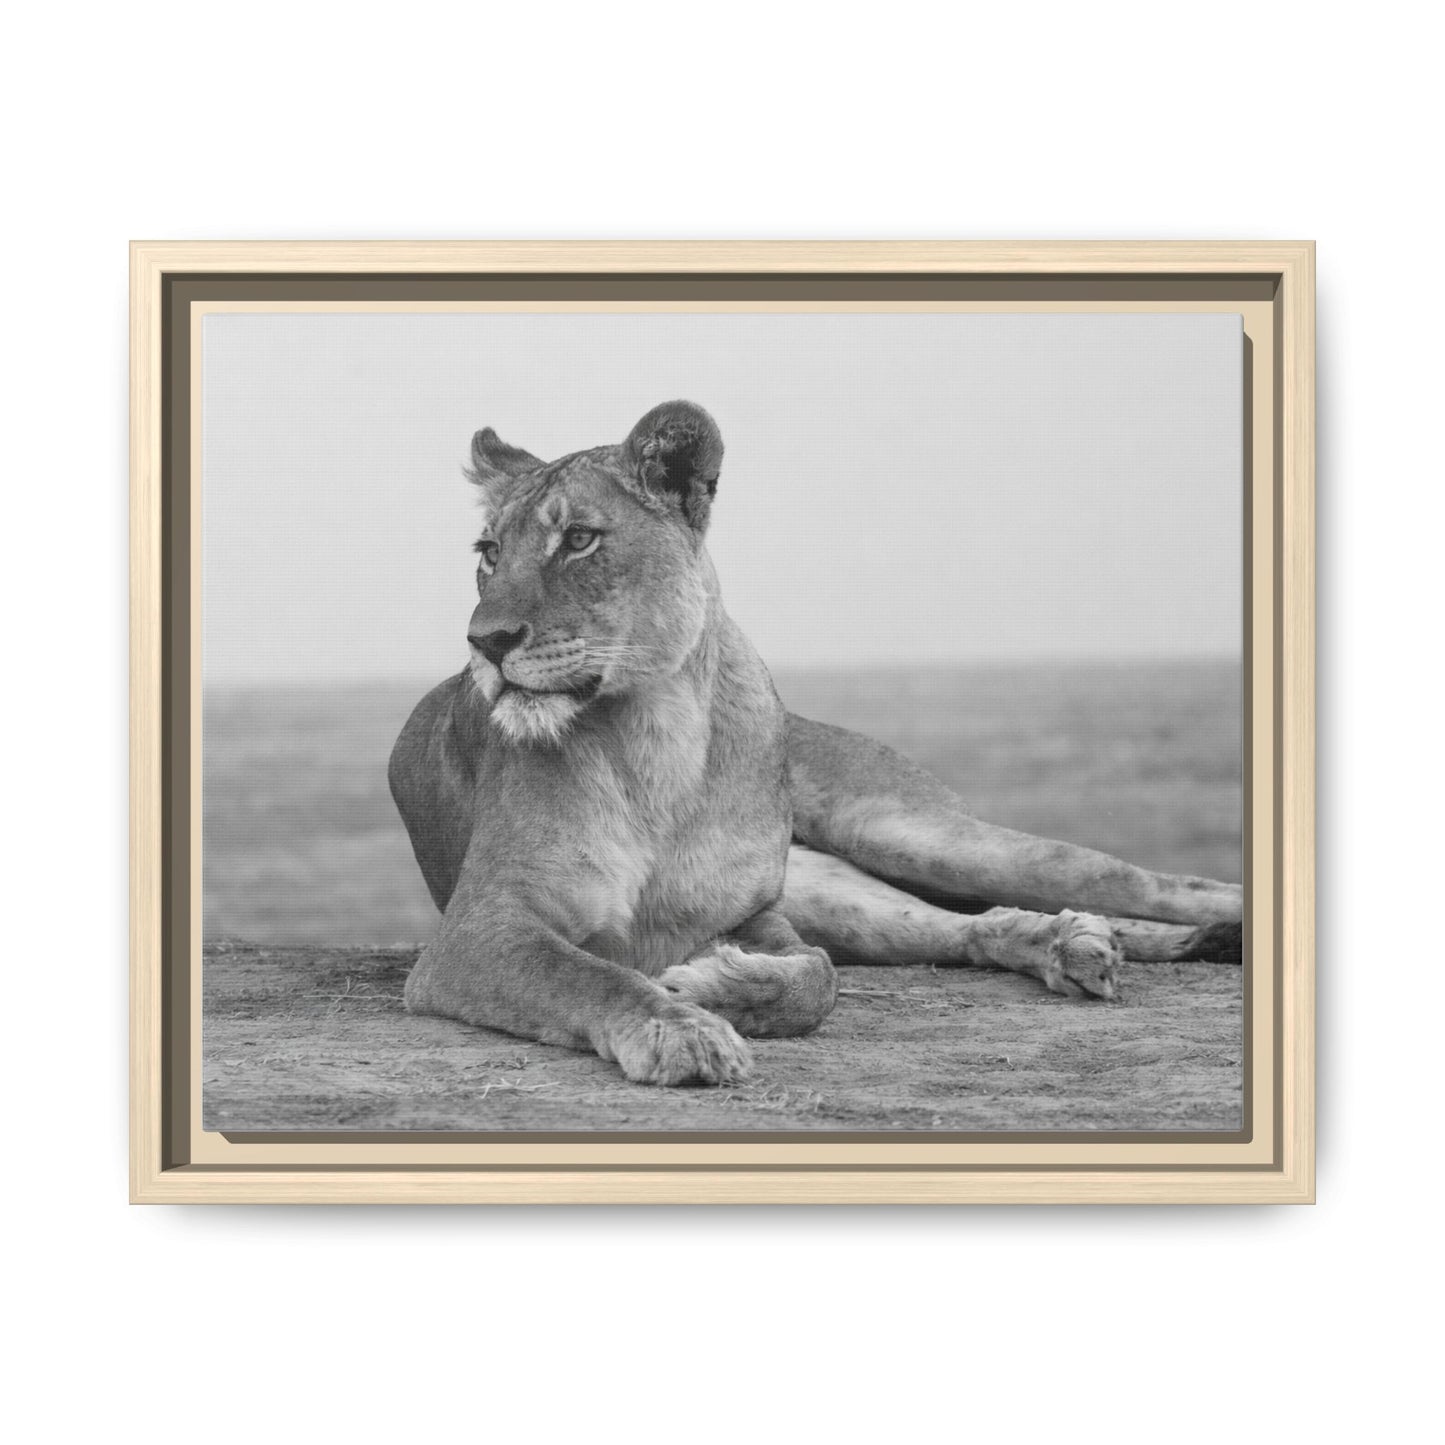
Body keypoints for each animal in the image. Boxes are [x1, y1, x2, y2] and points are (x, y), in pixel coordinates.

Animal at [390, 401, 1243, 1086]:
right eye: (488, 553)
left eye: (577, 539)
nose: (485, 642)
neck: (655, 738)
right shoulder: (479, 930)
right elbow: (590, 975)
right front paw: (680, 1027)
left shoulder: (758, 912)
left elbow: (816, 979)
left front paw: (706, 986)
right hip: (841, 887)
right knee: (964, 927)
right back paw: (1069, 942)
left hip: (905, 831)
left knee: (1150, 882)